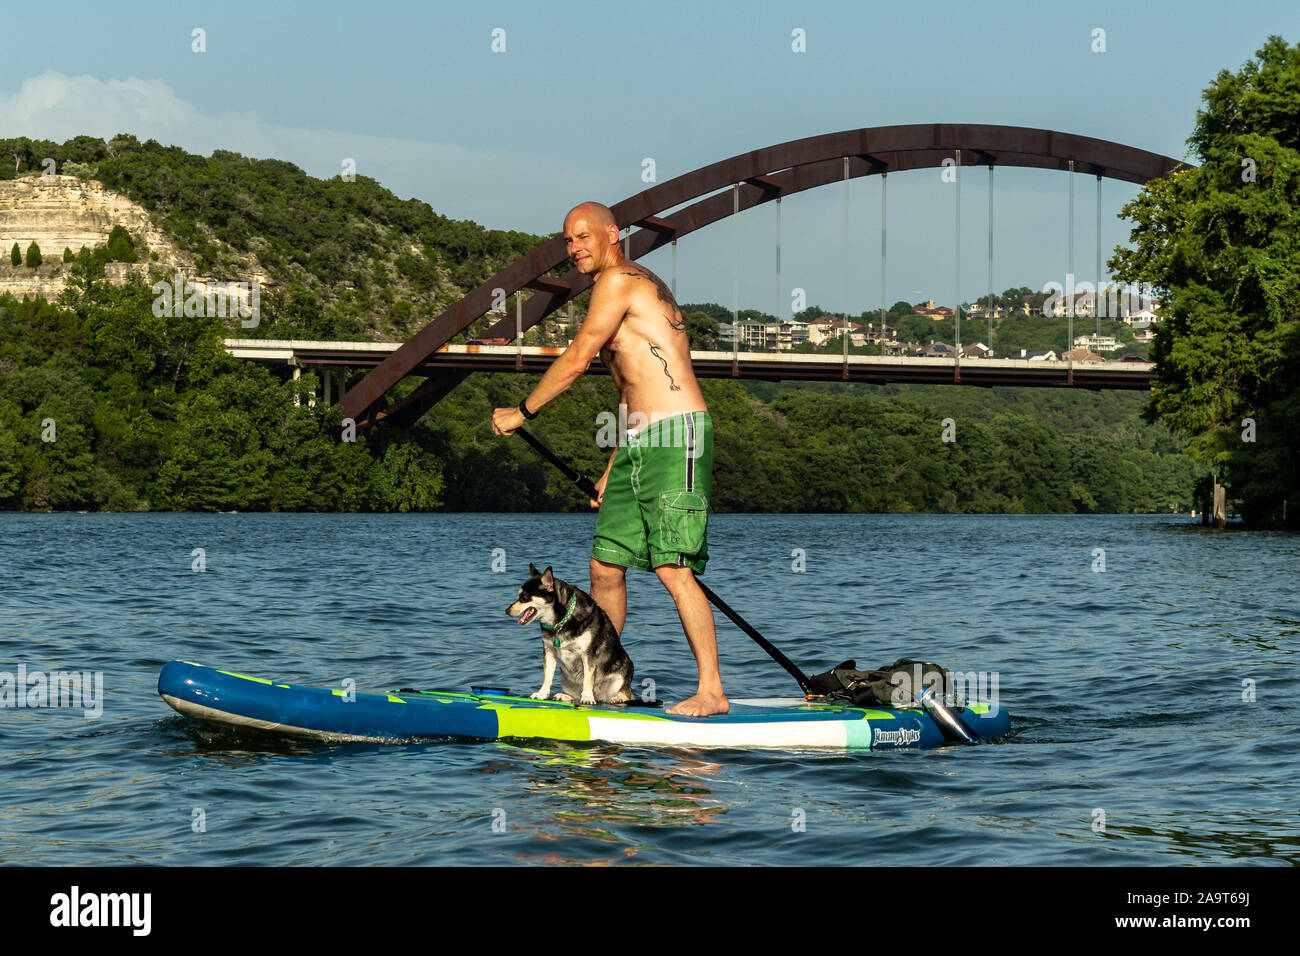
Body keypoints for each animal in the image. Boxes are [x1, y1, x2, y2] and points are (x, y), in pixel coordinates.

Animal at [504, 564, 631, 707]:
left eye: (524, 598)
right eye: (519, 596)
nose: (507, 611)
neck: (560, 621)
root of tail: (599, 697)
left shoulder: (588, 654)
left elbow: (588, 679)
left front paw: (587, 697)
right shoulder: (549, 651)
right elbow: (547, 676)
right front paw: (542, 693)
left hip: (620, 676)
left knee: (627, 694)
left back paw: (616, 698)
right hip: (565, 678)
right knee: (575, 695)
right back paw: (564, 696)